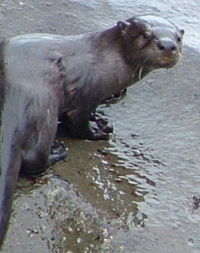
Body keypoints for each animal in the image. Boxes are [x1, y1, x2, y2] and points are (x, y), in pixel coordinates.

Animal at [0, 15, 184, 245]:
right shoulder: (88, 94)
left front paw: (100, 119)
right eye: (146, 34)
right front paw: (98, 132)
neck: (108, 59)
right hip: (43, 105)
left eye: (178, 38)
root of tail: (11, 92)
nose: (168, 46)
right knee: (35, 158)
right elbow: (79, 124)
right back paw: (57, 152)